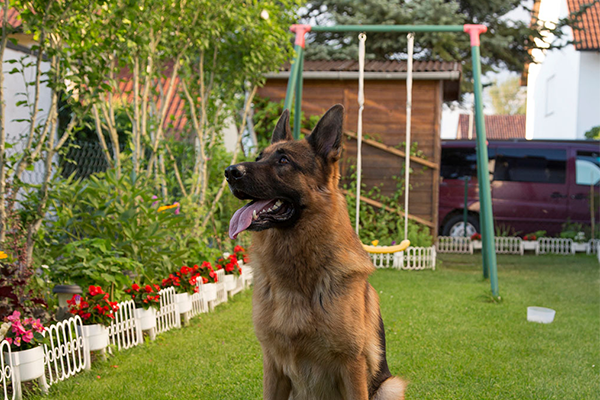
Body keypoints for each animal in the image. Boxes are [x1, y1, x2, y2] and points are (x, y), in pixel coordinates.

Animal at [226, 104, 408, 398]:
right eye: (258, 157)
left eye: (284, 160)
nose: (230, 172)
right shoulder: (272, 365)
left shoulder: (352, 365)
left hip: (390, 386)